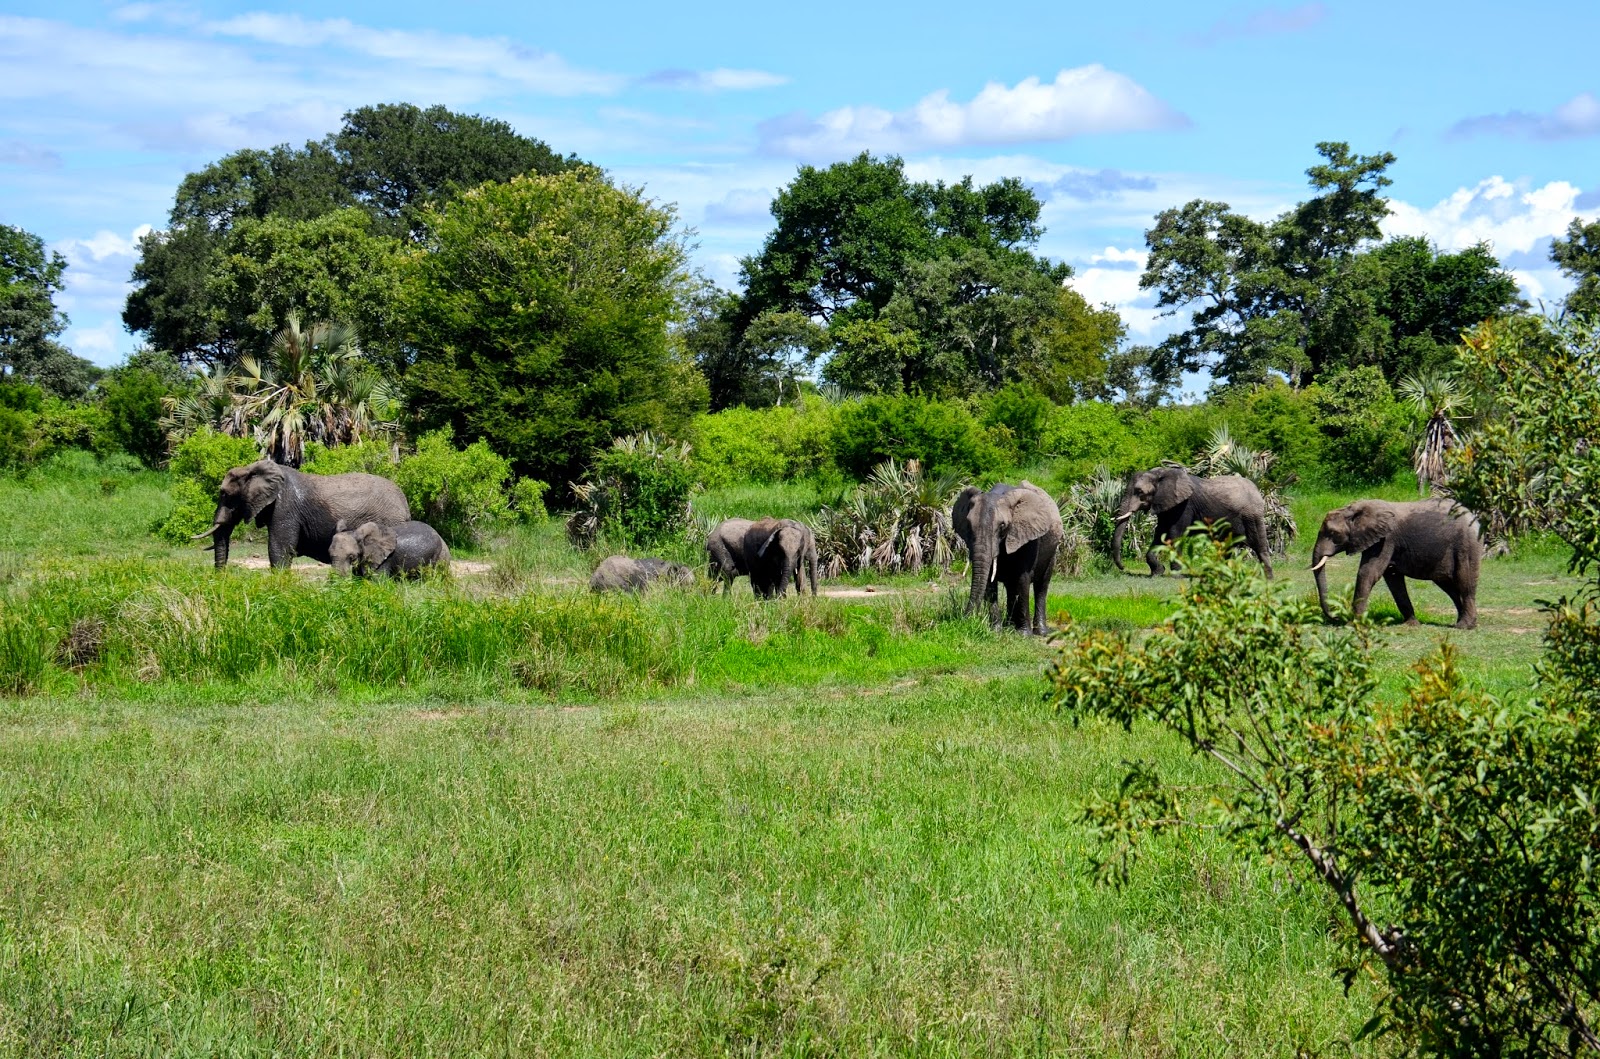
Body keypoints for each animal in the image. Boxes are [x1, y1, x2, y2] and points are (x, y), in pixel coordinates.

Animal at [192, 460, 411, 570]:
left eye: (224, 494)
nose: (222, 580)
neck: (252, 469)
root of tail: (405, 504)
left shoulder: (285, 507)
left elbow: (279, 549)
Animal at [952, 482, 1063, 634]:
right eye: (968, 524)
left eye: (1002, 525)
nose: (966, 619)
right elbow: (989, 582)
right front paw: (996, 631)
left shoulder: (1027, 536)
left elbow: (1023, 579)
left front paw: (1024, 634)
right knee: (1011, 587)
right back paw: (1010, 626)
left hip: (1052, 550)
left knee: (1041, 586)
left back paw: (1040, 632)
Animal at [1112, 467, 1272, 578]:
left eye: (1139, 492)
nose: (1123, 567)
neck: (1161, 474)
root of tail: (1257, 490)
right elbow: (1160, 533)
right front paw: (1158, 572)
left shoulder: (1184, 506)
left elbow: (1175, 533)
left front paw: (1176, 575)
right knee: (1228, 547)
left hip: (1252, 516)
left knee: (1259, 546)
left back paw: (1267, 579)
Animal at [1312, 498, 1483, 629]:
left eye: (1333, 533)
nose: (1335, 617)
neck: (1353, 509)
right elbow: (1393, 579)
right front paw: (1411, 624)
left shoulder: (1385, 539)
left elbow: (1368, 573)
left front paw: (1352, 625)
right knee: (1449, 587)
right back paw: (1464, 622)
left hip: (1467, 544)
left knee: (1464, 583)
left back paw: (1464, 626)